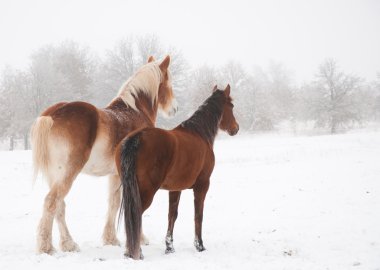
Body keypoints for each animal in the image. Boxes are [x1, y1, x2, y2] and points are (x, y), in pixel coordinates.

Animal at [30, 56, 177, 254]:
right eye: (168, 82)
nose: (174, 108)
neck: (134, 111)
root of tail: (52, 115)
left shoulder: (115, 174)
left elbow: (113, 203)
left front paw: (110, 239)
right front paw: (140, 239)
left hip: (55, 175)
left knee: (59, 206)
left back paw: (69, 244)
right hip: (68, 172)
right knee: (52, 202)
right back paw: (46, 247)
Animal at [116, 84, 239, 260]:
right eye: (232, 106)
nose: (235, 128)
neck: (199, 133)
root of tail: (137, 137)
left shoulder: (175, 189)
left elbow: (172, 215)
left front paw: (169, 247)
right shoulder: (202, 185)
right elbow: (198, 215)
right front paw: (199, 246)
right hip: (146, 192)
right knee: (136, 215)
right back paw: (136, 252)